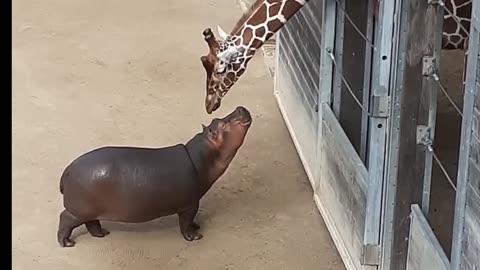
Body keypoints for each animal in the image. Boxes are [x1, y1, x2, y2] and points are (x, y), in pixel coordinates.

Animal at [56, 105, 253, 247]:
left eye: (216, 119)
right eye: (222, 125)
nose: (240, 108)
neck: (202, 155)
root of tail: (68, 169)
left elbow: (191, 221)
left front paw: (197, 226)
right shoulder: (190, 204)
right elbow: (185, 222)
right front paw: (195, 236)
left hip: (89, 209)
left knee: (92, 222)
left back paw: (102, 234)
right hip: (78, 210)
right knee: (65, 218)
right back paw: (67, 243)